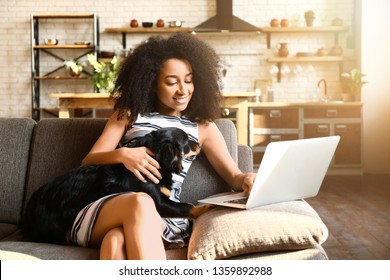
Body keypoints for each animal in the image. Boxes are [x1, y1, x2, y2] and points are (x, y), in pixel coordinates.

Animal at [22, 127, 212, 243]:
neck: (155, 158)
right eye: (186, 141)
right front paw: (207, 207)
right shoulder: (159, 203)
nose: (199, 144)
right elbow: (187, 206)